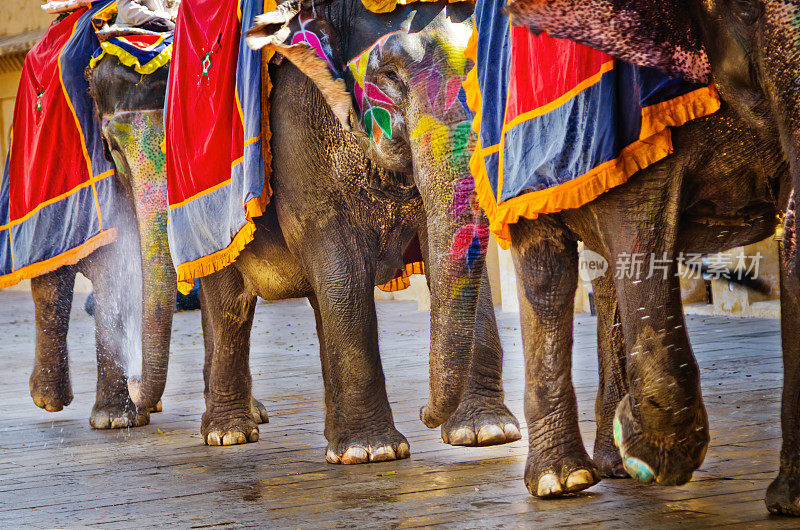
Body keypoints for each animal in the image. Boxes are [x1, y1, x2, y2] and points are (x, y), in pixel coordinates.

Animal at [122, 0, 520, 462]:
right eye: (389, 74)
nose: (424, 413)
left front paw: (486, 432)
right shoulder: (300, 125)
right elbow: (341, 264)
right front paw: (373, 452)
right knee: (228, 303)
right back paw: (229, 434)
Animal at [460, 0, 800, 512]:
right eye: (744, 12)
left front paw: (787, 502)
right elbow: (635, 219)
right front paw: (652, 453)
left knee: (604, 280)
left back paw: (613, 465)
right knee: (547, 273)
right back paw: (563, 481)